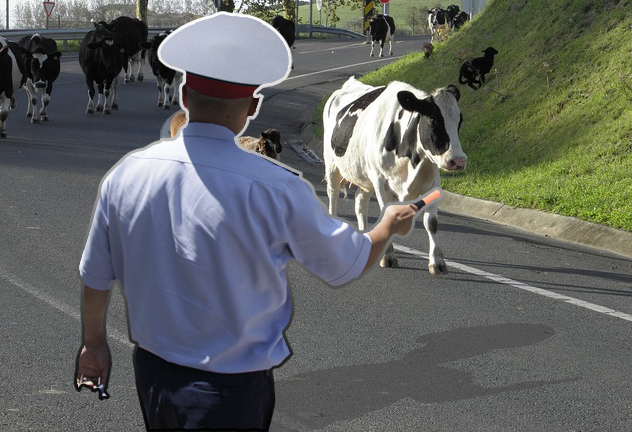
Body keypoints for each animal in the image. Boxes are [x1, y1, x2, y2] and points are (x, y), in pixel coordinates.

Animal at [324, 77, 466, 274]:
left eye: (460, 120)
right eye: (433, 119)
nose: (458, 160)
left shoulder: (432, 183)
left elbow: (431, 222)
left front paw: (437, 262)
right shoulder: (381, 181)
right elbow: (387, 216)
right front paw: (388, 257)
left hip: (366, 177)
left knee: (360, 202)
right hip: (332, 165)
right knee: (333, 196)